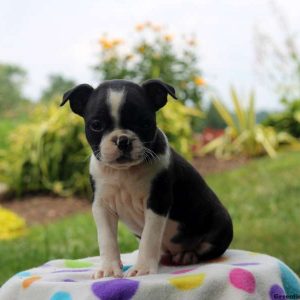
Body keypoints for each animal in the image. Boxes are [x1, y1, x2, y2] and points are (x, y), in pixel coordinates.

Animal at [61, 78, 233, 278]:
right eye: (96, 125)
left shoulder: (157, 202)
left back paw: (187, 255)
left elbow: (149, 238)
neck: (124, 172)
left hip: (222, 225)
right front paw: (109, 269)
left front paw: (142, 269)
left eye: (144, 123)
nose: (122, 140)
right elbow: (106, 239)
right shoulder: (102, 206)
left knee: (205, 248)